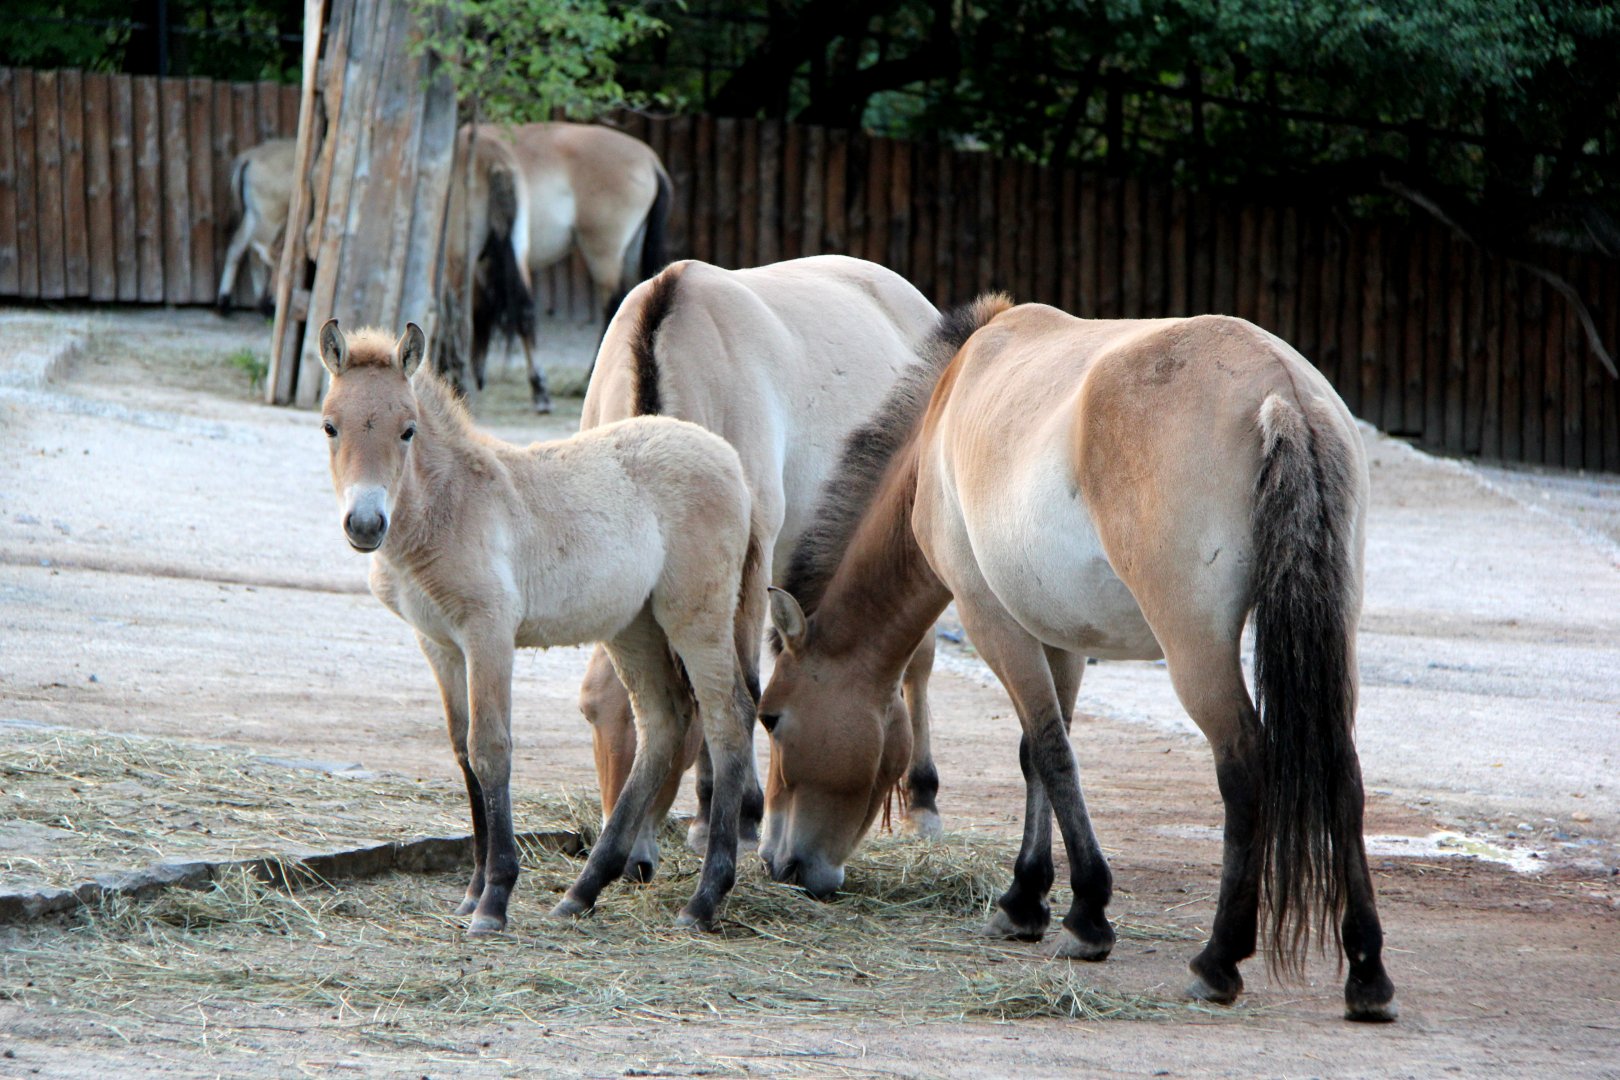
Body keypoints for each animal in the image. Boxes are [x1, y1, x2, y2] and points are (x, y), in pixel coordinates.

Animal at [215, 138, 296, 314]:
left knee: (239, 246)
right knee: (262, 248)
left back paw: (226, 300)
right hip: (269, 218)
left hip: (253, 215)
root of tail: (250, 157)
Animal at [315, 319, 762, 932]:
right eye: (330, 426)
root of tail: (730, 461)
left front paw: (494, 899)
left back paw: (703, 899)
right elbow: (463, 754)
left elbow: (491, 749)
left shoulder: (488, 633)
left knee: (727, 720)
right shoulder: (439, 644)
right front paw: (472, 893)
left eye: (407, 430)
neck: (448, 505)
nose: (364, 524)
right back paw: (583, 891)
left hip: (696, 617)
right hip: (633, 628)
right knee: (663, 724)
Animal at [577, 254, 947, 884]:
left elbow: (736, 688)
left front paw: (730, 818)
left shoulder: (748, 561)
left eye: (676, 720)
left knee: (918, 668)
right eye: (591, 714)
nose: (629, 862)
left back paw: (923, 799)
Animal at [758, 298, 1398, 1022]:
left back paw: (1218, 960)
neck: (944, 421)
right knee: (1342, 771)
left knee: (1243, 768)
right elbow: (1037, 754)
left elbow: (1051, 751)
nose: (780, 864)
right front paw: (1026, 900)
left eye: (772, 718)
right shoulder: (1058, 637)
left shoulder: (991, 618)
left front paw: (1086, 914)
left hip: (1194, 648)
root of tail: (1279, 392)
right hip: (1331, 636)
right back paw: (1366, 973)